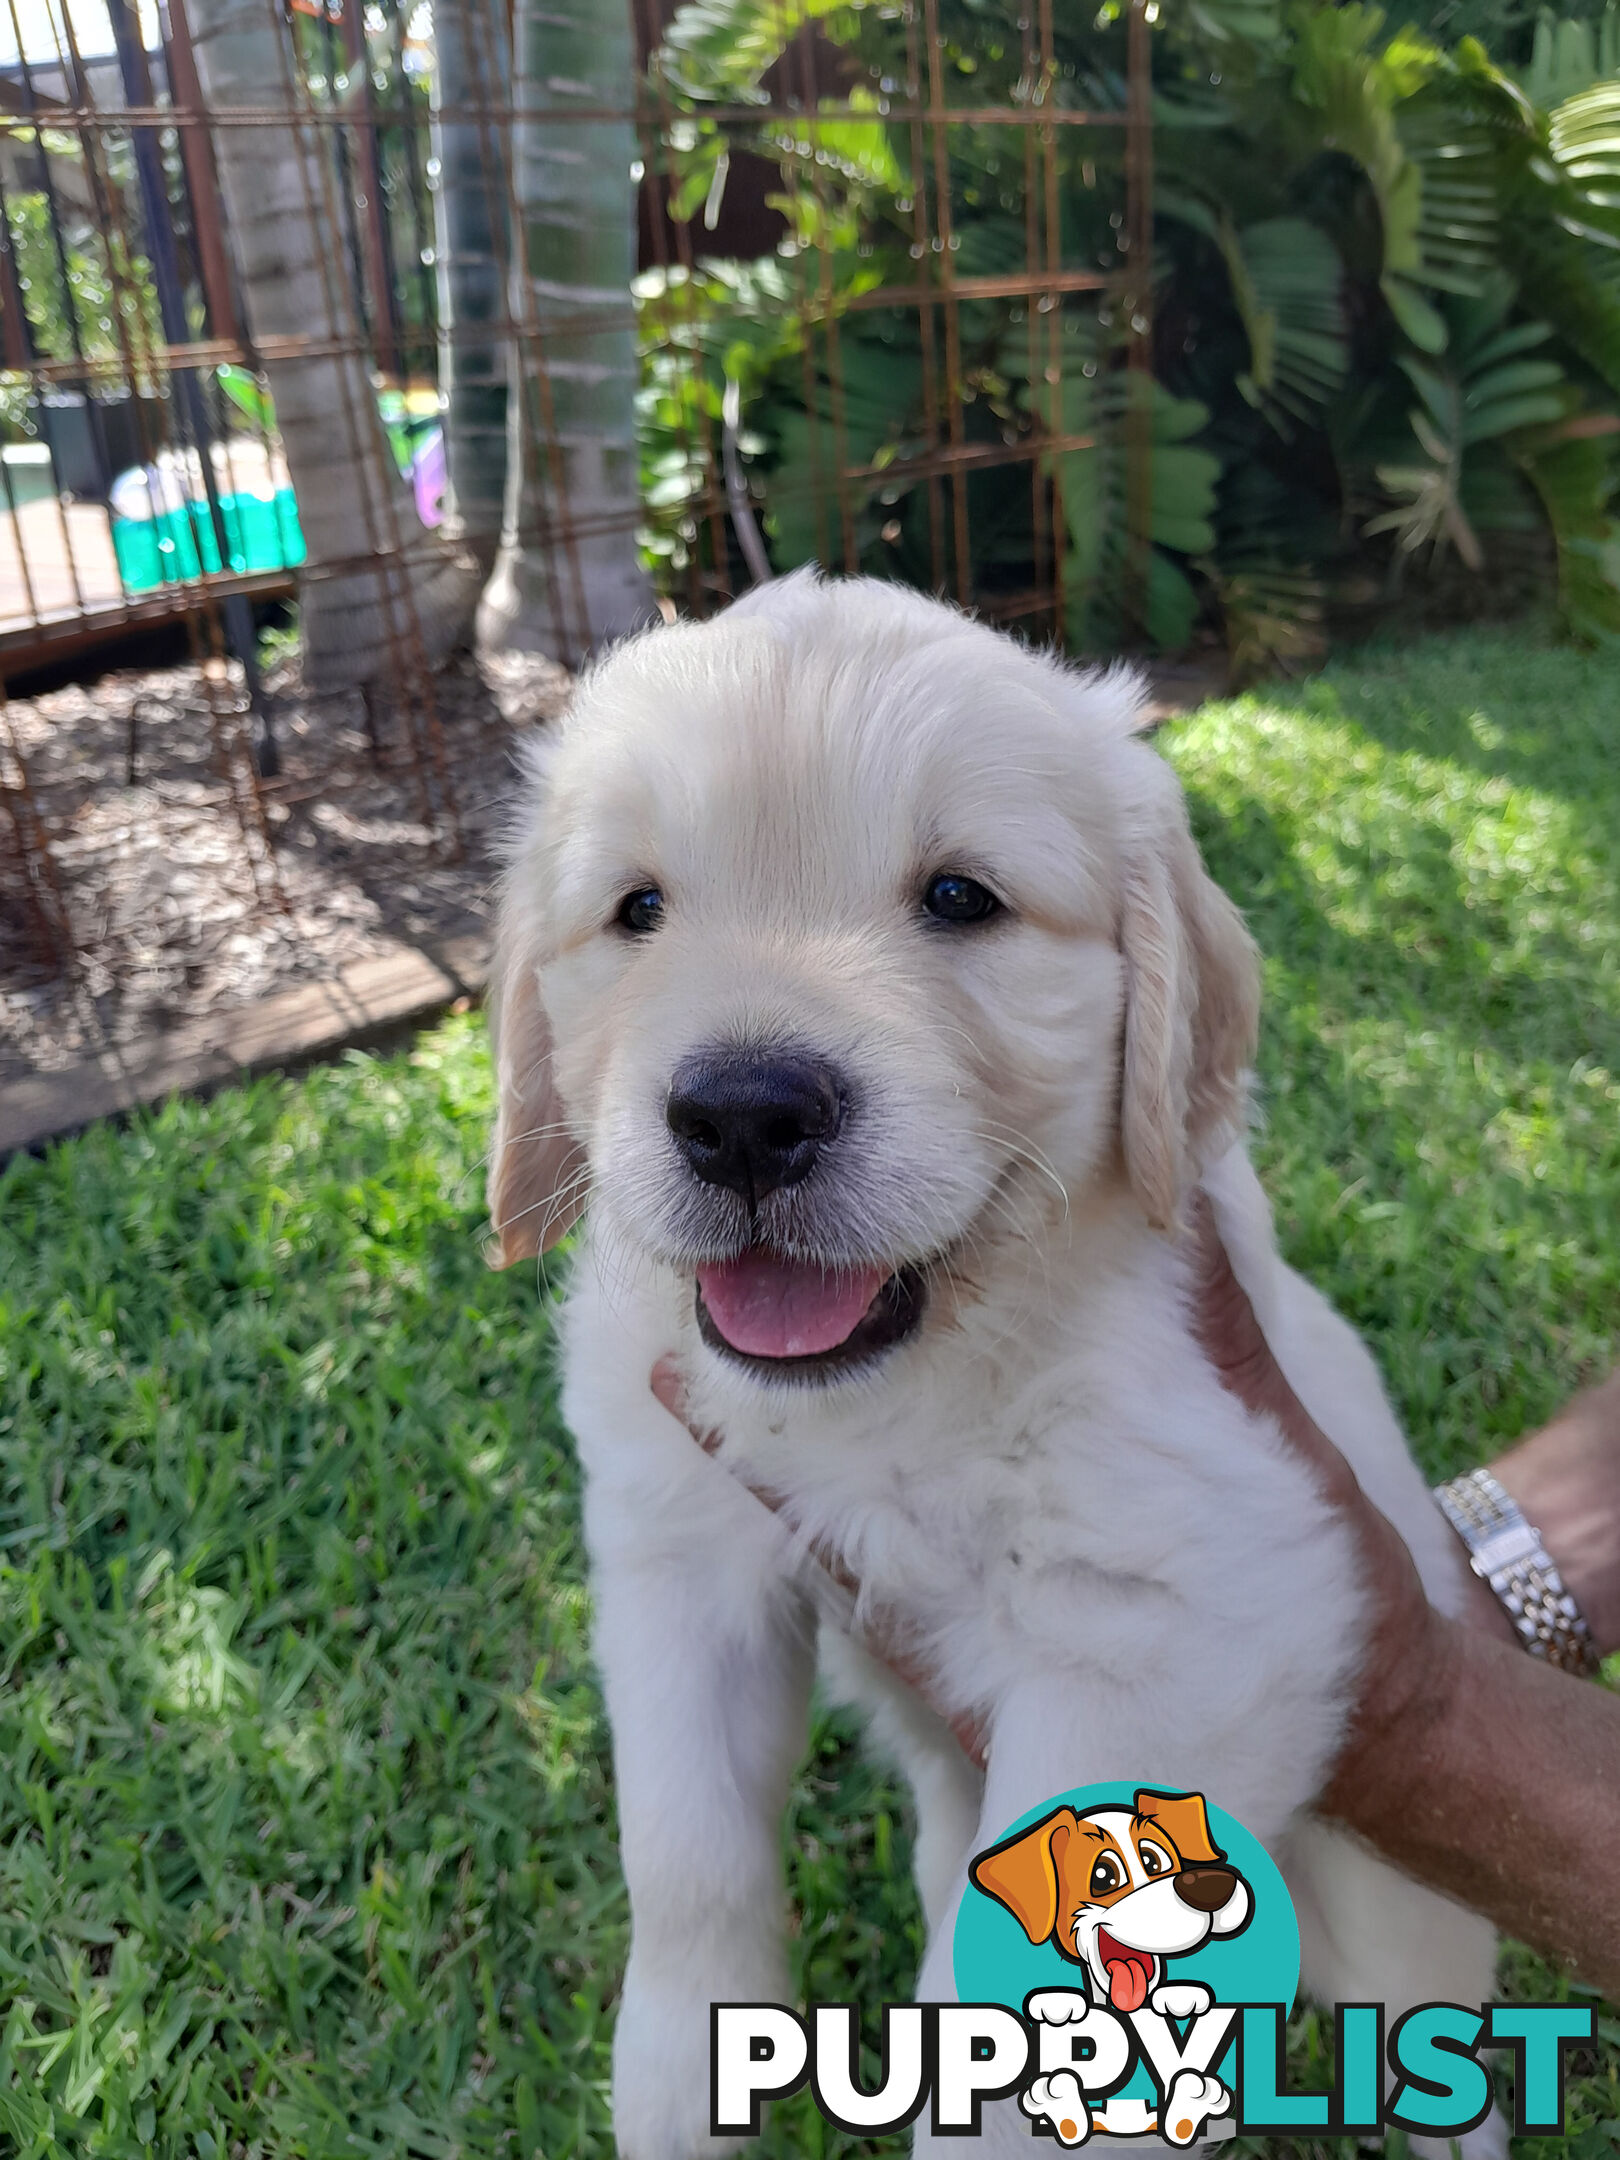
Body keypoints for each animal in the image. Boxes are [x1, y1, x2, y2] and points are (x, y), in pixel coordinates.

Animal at [492, 574, 1512, 2160]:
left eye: (961, 898)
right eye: (637, 910)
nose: (743, 1115)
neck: (901, 1385)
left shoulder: (1179, 1619)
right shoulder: (678, 1555)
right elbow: (687, 1859)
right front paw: (669, 2088)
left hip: (1396, 1906)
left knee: (1439, 2051)